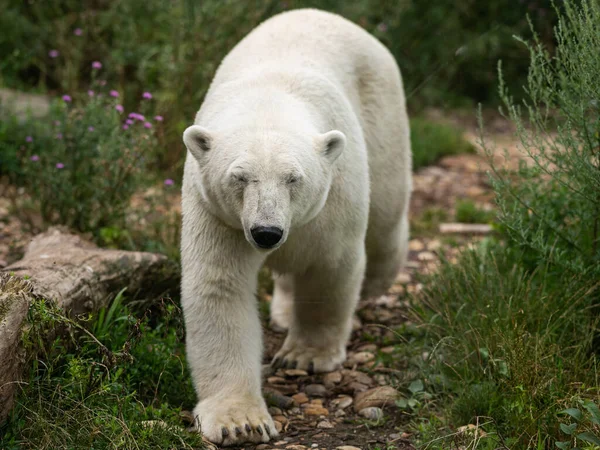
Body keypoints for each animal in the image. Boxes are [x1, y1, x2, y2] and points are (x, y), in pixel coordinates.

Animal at [180, 7, 410, 446]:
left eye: (293, 178)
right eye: (240, 177)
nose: (266, 233)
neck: (268, 96)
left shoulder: (332, 195)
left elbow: (328, 266)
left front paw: (306, 355)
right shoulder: (218, 214)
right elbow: (219, 286)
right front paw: (241, 422)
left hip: (383, 112)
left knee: (386, 213)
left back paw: (375, 282)